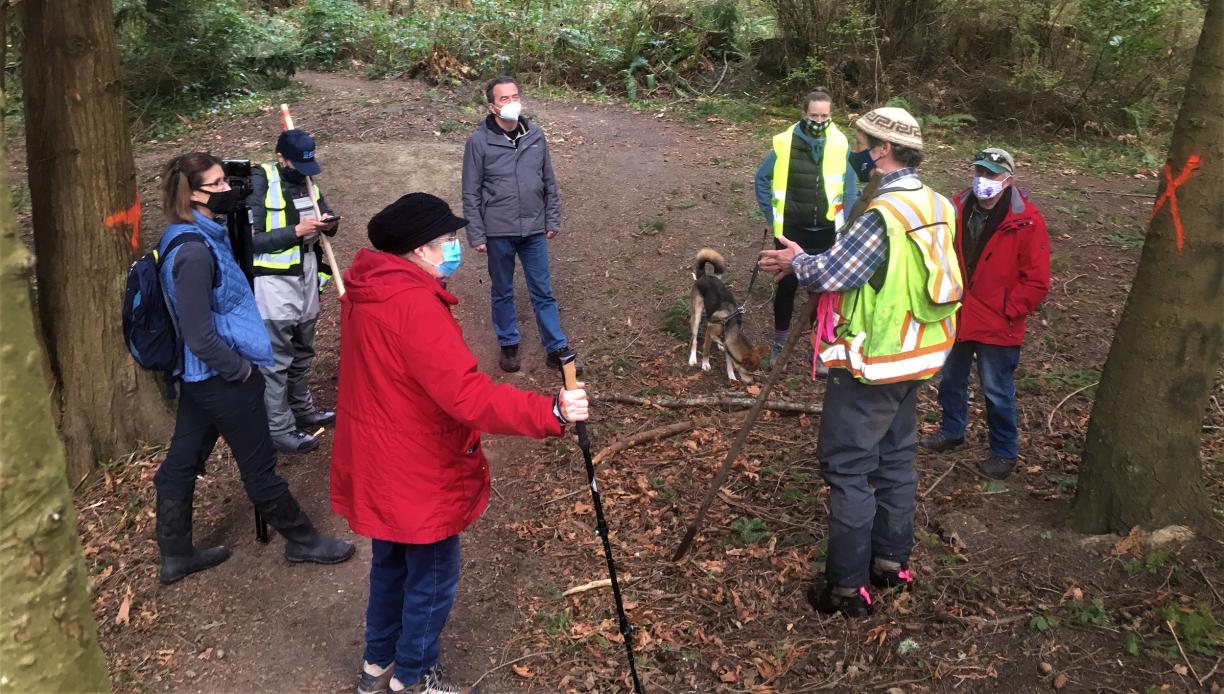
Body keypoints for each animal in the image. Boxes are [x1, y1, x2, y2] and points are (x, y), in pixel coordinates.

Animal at [690, 248, 763, 381]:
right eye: (748, 372)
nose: (751, 382)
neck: (730, 328)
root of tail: (705, 276)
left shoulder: (728, 345)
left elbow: (729, 362)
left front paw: (731, 376)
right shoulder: (709, 331)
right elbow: (706, 349)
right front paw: (705, 364)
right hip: (696, 314)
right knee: (694, 339)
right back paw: (692, 358)